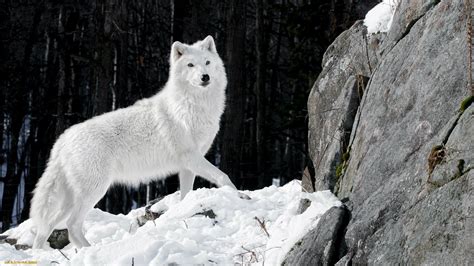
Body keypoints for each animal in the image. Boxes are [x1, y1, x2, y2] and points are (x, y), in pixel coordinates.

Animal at [30, 35, 236, 249]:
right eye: (190, 65)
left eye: (207, 62)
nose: (205, 77)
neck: (193, 106)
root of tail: (62, 140)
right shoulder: (191, 157)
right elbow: (223, 177)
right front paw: (238, 195)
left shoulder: (188, 165)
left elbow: (186, 194)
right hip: (94, 191)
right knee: (72, 225)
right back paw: (92, 250)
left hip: (71, 199)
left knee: (47, 226)